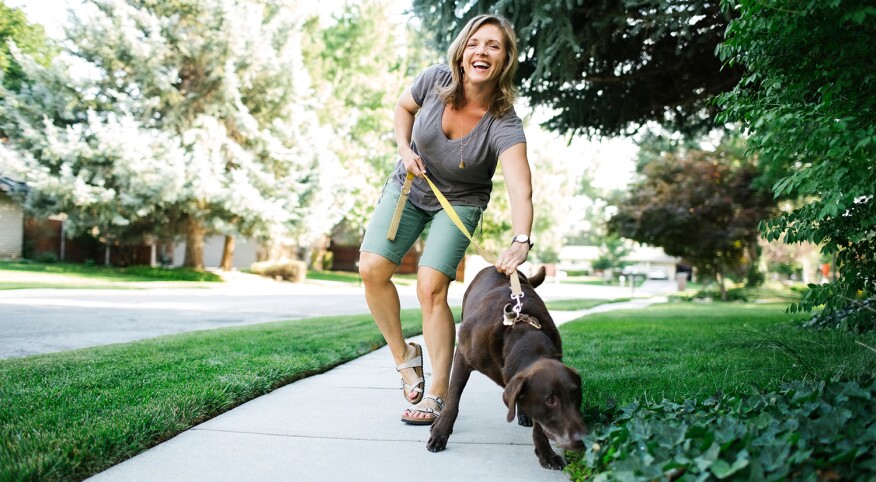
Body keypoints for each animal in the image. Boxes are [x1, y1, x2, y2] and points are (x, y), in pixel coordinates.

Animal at [426, 266, 588, 468]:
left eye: (577, 395)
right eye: (551, 400)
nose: (583, 440)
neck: (521, 335)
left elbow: (539, 425)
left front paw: (545, 453)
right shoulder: (462, 357)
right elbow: (453, 399)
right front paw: (440, 432)